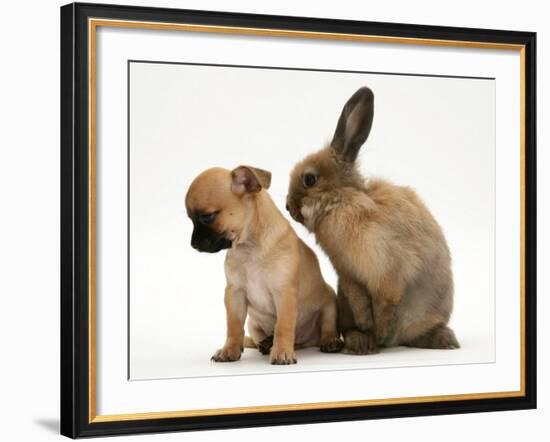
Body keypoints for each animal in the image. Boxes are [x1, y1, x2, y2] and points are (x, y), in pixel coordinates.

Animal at [185, 167, 344, 366]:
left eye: (208, 217)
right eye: (190, 219)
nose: (193, 244)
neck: (249, 248)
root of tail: (305, 341)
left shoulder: (284, 293)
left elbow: (283, 326)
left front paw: (282, 351)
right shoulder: (235, 294)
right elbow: (234, 326)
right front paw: (230, 349)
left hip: (330, 304)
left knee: (327, 328)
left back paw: (329, 341)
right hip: (253, 323)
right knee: (257, 337)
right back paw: (266, 343)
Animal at [288, 87, 462, 356]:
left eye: (310, 179)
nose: (288, 206)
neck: (342, 200)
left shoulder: (386, 268)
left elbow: (385, 303)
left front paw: (380, 331)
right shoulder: (347, 273)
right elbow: (359, 301)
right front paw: (368, 328)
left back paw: (439, 340)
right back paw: (361, 342)